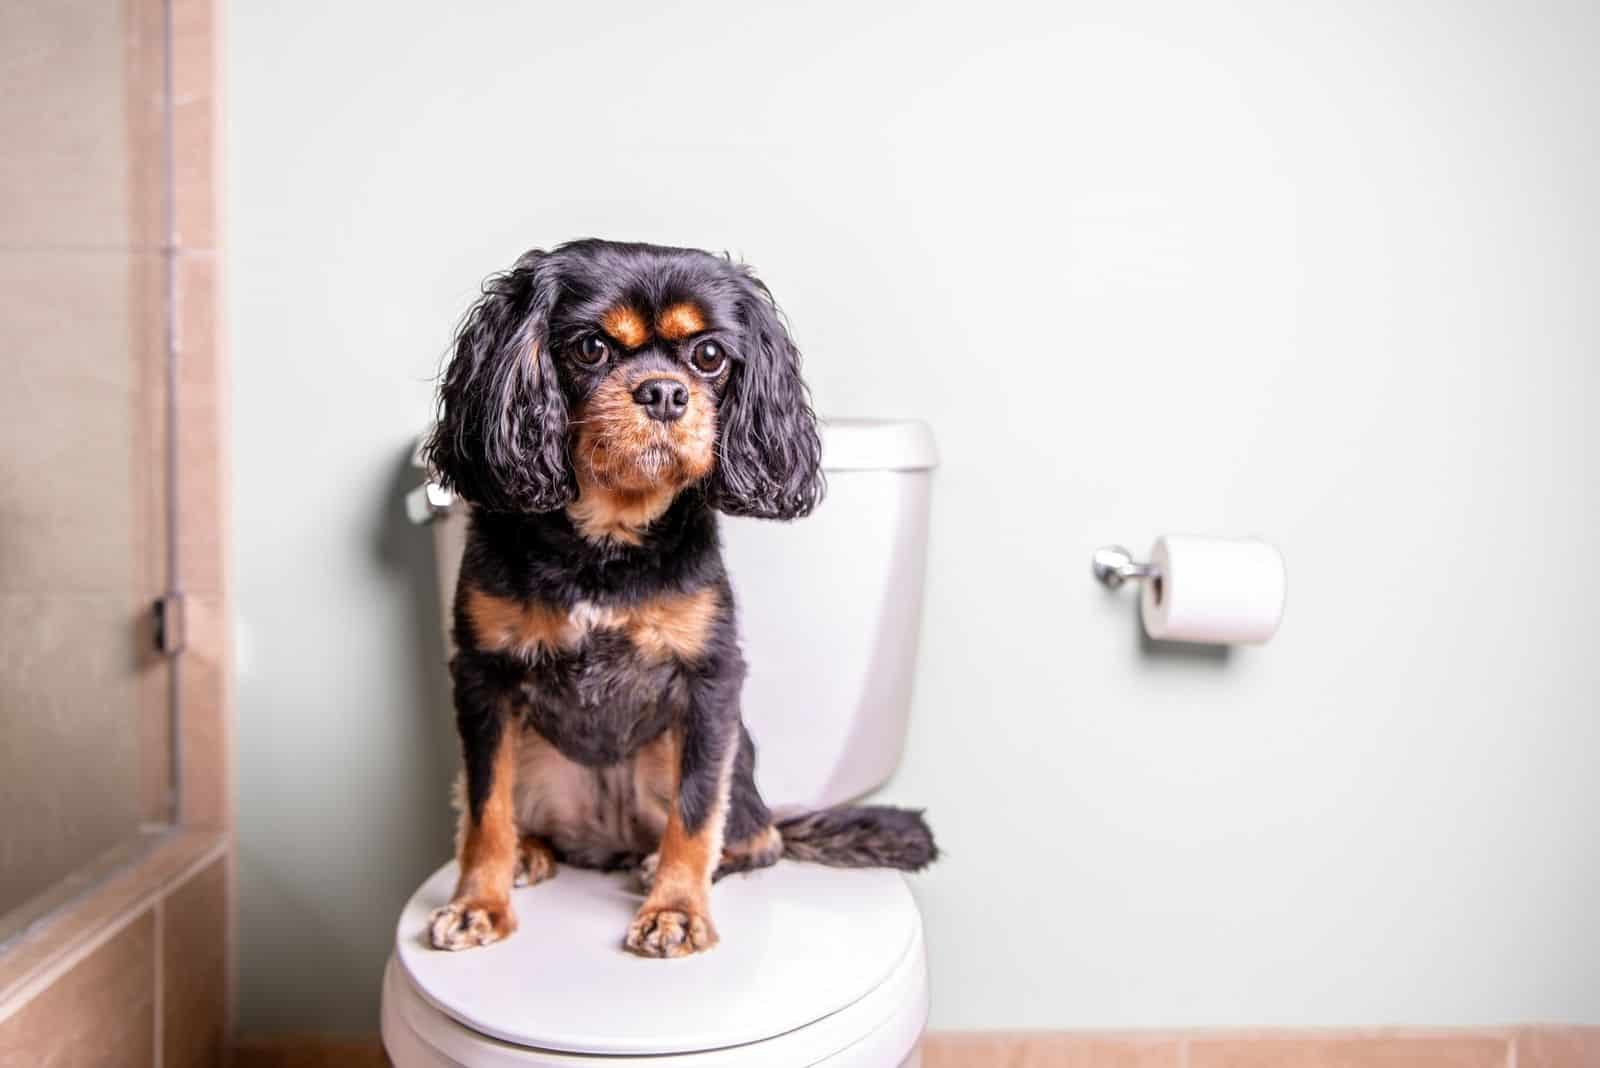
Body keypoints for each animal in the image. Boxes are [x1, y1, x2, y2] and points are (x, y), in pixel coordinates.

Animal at [422, 239, 934, 959]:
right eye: (591, 347)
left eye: (709, 355)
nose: (664, 392)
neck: (607, 542)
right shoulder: (482, 675)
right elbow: (485, 806)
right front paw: (478, 904)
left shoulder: (709, 680)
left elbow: (695, 813)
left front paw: (676, 911)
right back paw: (531, 851)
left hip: (714, 756)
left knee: (755, 836)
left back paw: (661, 864)